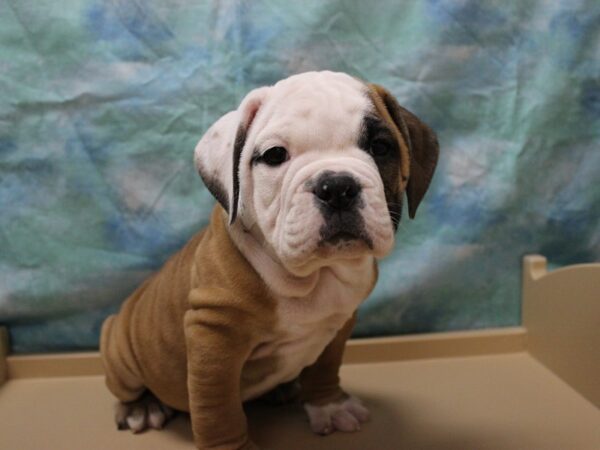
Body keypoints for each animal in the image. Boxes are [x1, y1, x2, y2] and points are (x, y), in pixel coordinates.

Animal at [101, 72, 438, 448]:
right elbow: (218, 407)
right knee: (127, 387)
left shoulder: (339, 323)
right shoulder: (213, 336)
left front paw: (330, 405)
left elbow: (325, 367)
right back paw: (141, 407)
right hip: (119, 350)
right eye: (275, 155)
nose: (337, 186)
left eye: (380, 147)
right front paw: (230, 447)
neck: (316, 275)